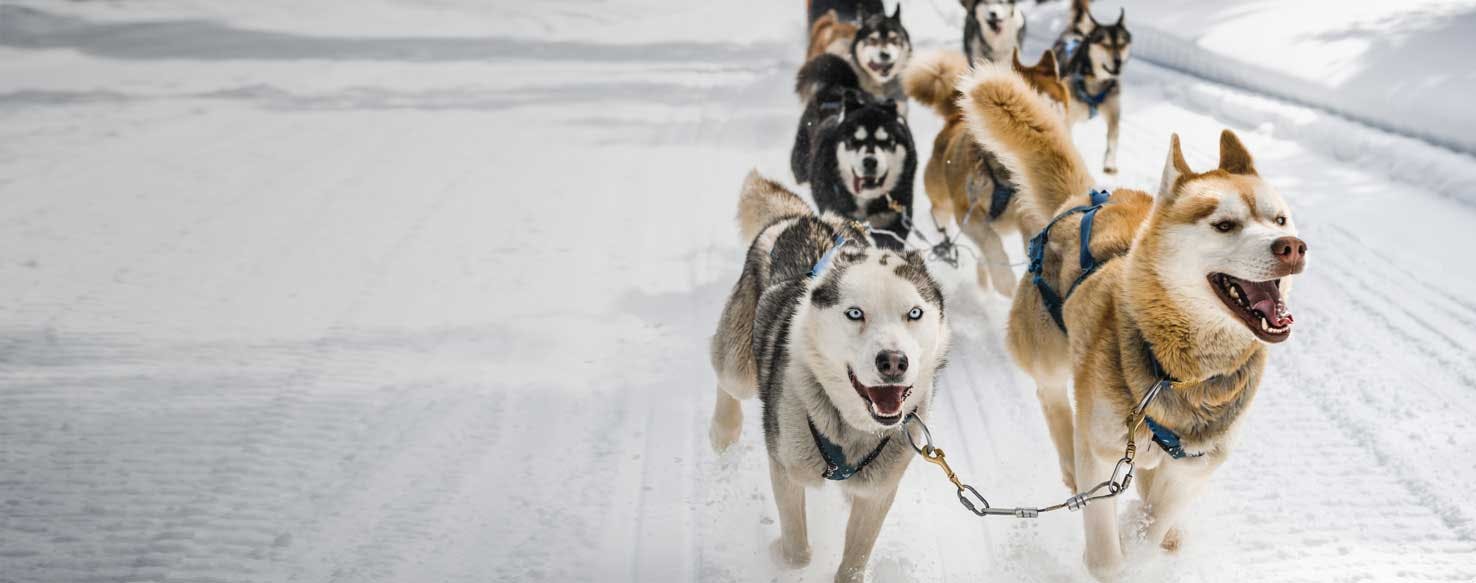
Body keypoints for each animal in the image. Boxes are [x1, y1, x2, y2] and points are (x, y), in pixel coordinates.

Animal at [708, 171, 950, 581]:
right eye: (855, 313)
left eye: (914, 313)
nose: (893, 362)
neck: (851, 430)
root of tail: (807, 217)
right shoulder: (787, 467)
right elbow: (797, 552)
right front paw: (781, 555)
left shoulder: (878, 490)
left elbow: (854, 560)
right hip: (739, 364)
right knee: (727, 377)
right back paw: (723, 431)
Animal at [903, 48, 1068, 296]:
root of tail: (955, 118)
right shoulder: (967, 212)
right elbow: (991, 242)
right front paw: (1005, 280)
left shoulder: (1028, 216)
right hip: (942, 202)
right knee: (942, 219)